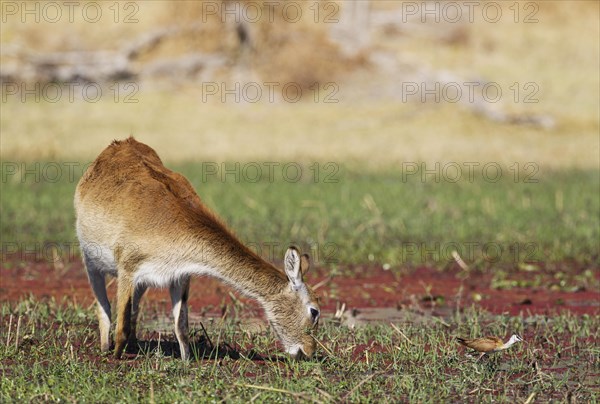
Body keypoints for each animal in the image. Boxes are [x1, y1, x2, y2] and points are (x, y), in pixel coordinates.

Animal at [74, 138, 324, 360]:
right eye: (314, 310)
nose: (309, 351)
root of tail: (120, 143)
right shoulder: (127, 268)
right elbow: (121, 323)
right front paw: (117, 355)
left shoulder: (178, 276)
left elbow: (180, 324)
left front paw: (186, 360)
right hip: (90, 262)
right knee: (104, 307)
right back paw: (105, 348)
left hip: (142, 283)